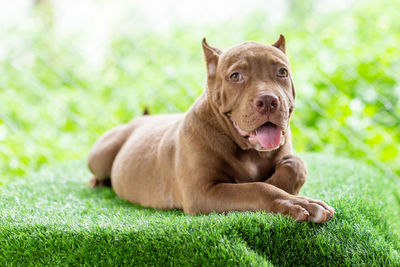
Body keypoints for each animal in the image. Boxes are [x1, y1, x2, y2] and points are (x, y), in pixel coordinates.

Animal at [87, 36, 334, 224]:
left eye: (282, 72)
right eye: (235, 76)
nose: (268, 101)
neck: (248, 150)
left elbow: (296, 164)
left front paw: (281, 184)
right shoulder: (202, 192)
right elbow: (257, 188)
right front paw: (300, 202)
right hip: (101, 155)